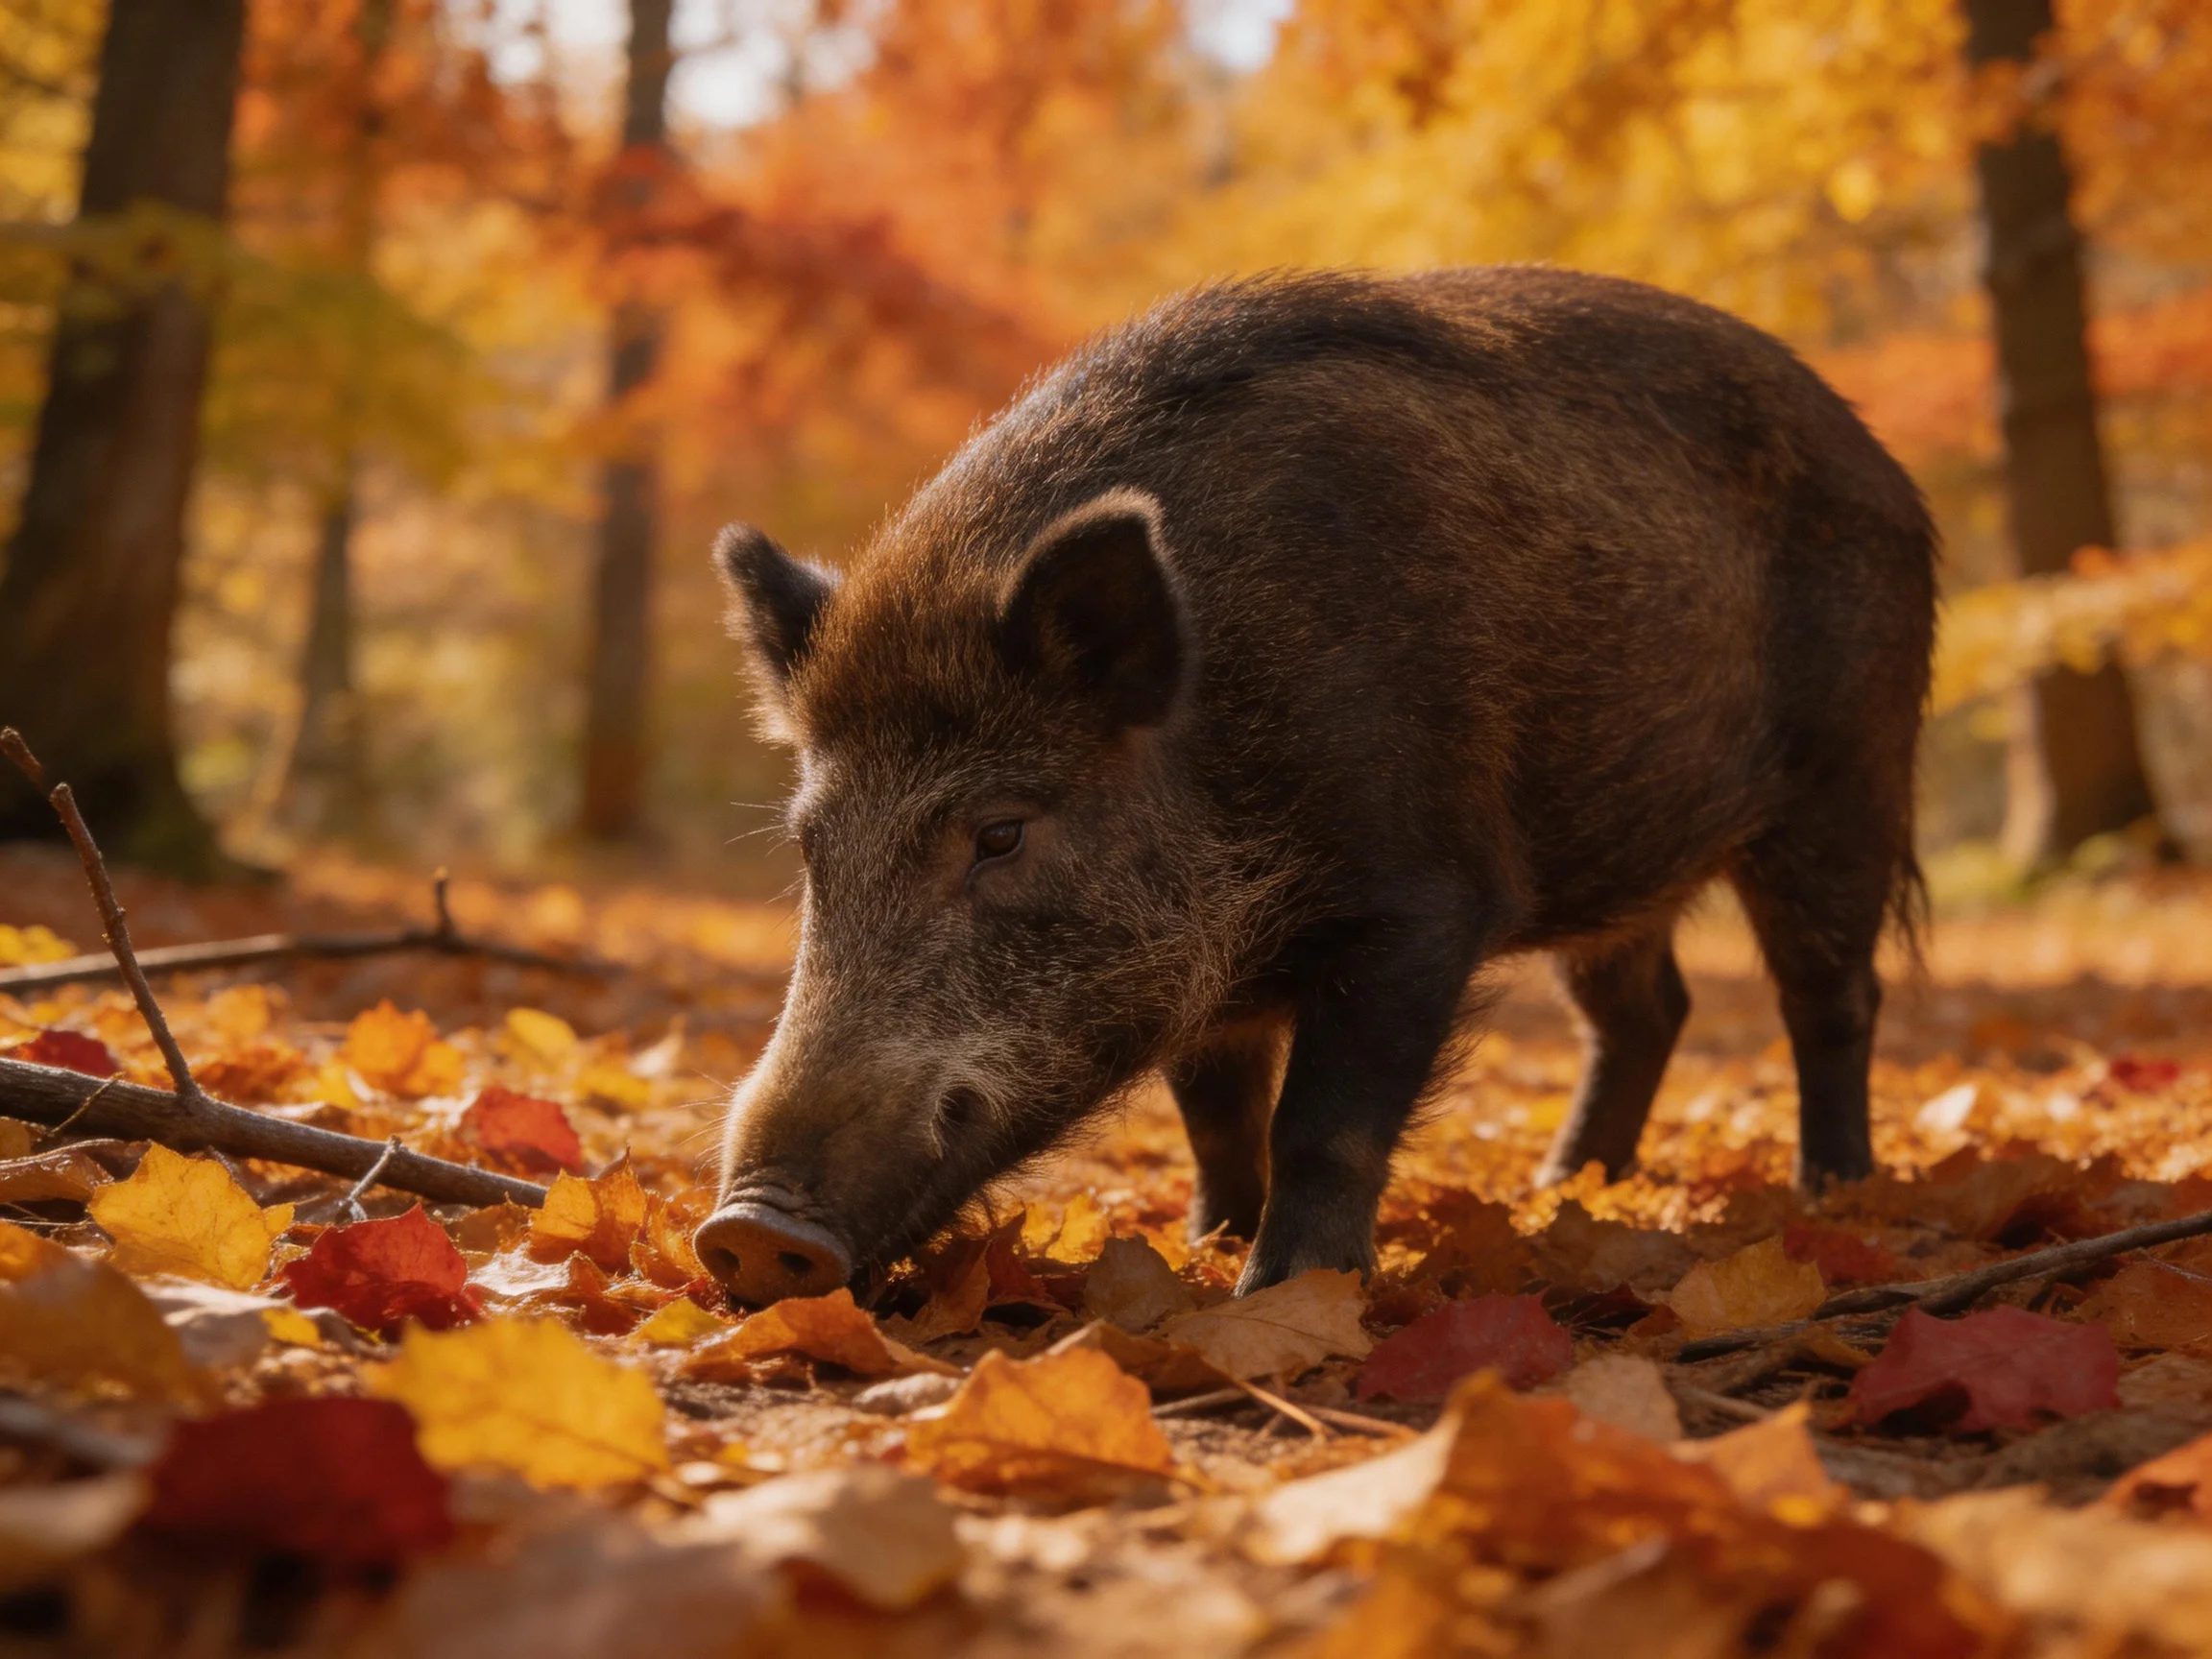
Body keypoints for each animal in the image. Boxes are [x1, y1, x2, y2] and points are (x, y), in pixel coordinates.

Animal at [693, 267, 1934, 1305]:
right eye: (811, 847)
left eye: (1000, 834)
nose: (747, 1231)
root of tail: (1885, 467)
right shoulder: (1207, 972)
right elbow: (1215, 1112)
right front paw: (1210, 1243)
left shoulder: (1426, 899)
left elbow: (1322, 1122)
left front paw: (1284, 1292)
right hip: (1615, 843)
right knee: (1644, 1010)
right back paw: (1565, 1191)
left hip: (1847, 782)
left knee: (1832, 995)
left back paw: (1834, 1190)